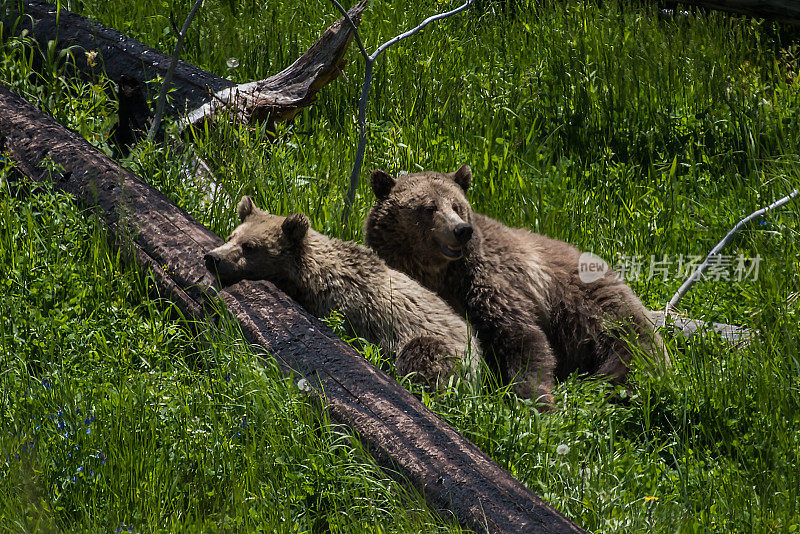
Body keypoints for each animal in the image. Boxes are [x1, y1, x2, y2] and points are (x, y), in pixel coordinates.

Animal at [208, 197, 482, 390]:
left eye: (249, 247)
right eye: (232, 236)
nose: (212, 258)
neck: (314, 279)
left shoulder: (347, 309)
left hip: (448, 350)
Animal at [362, 165, 664, 404]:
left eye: (457, 205)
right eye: (429, 207)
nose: (461, 230)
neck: (439, 272)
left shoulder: (489, 281)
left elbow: (521, 336)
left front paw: (537, 400)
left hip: (585, 306)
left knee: (630, 343)